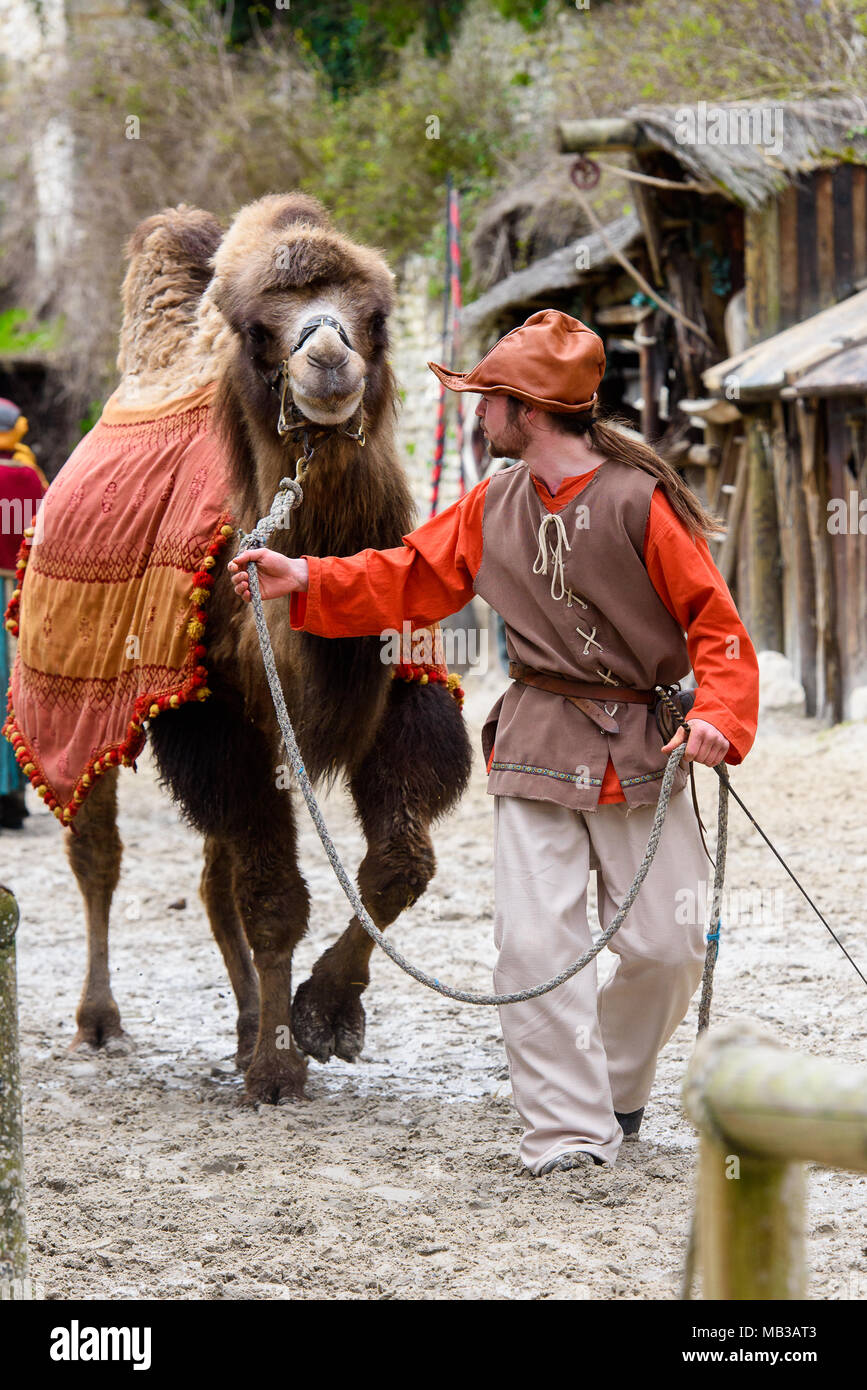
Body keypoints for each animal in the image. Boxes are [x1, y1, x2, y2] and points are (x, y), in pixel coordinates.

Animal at [50, 198, 469, 1106]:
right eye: (256, 331)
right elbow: (274, 897)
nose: (327, 359)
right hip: (74, 699)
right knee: (98, 850)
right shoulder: (212, 715)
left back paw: (245, 1026)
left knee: (214, 882)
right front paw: (279, 1068)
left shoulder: (396, 693)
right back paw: (101, 1021)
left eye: (376, 317)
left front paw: (322, 1014)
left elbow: (401, 862)